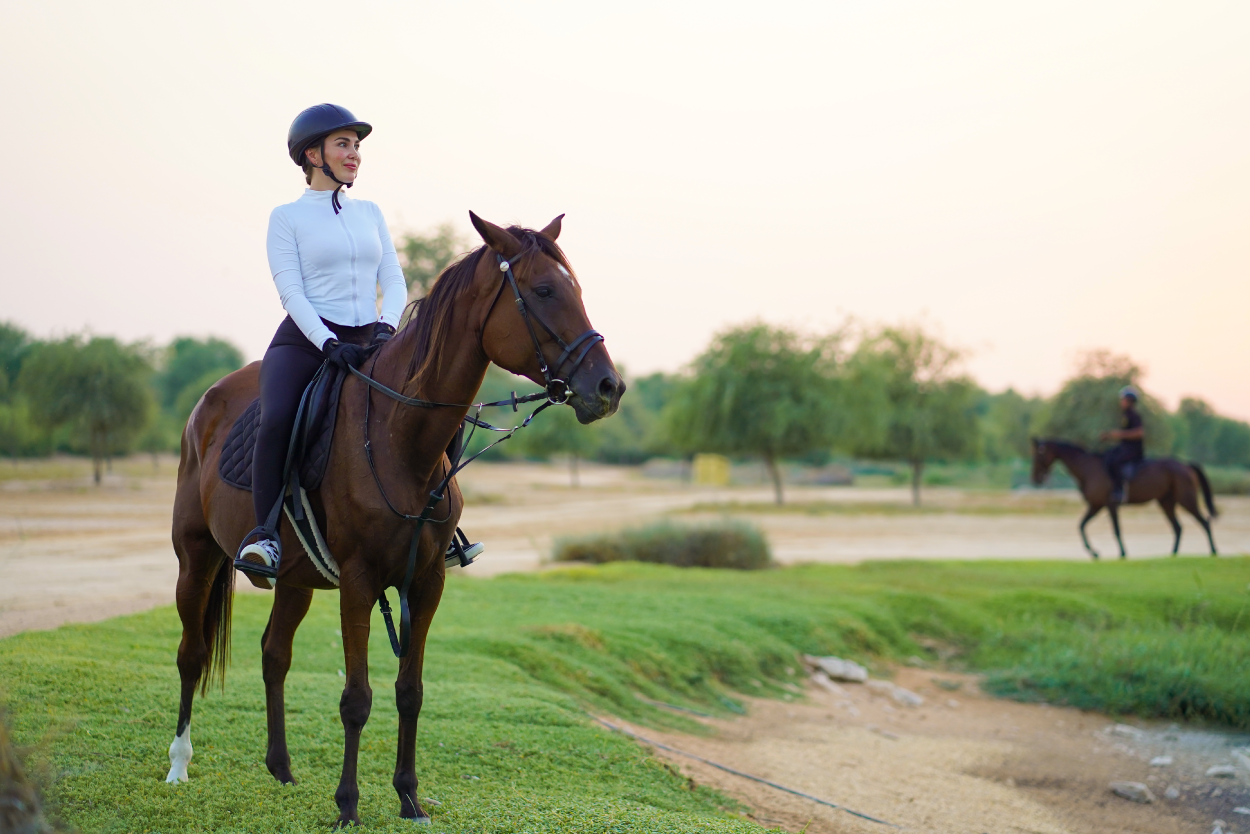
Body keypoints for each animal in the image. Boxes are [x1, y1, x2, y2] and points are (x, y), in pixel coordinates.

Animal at [166, 215, 625, 830]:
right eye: (546, 291)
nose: (609, 387)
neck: (397, 435)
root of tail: (205, 404)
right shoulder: (359, 583)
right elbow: (356, 699)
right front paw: (347, 806)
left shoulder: (425, 582)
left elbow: (411, 690)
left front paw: (409, 797)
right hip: (196, 560)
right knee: (191, 654)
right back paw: (179, 764)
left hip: (294, 581)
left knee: (274, 655)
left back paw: (281, 769)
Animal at [1030, 437, 1215, 560]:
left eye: (1038, 456)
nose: (1036, 478)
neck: (1087, 469)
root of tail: (1186, 465)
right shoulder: (1096, 505)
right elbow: (1081, 526)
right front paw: (1094, 552)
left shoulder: (1110, 504)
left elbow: (1116, 529)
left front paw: (1122, 554)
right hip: (1166, 502)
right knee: (1178, 527)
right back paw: (1173, 554)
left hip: (1186, 500)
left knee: (1204, 522)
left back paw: (1213, 551)